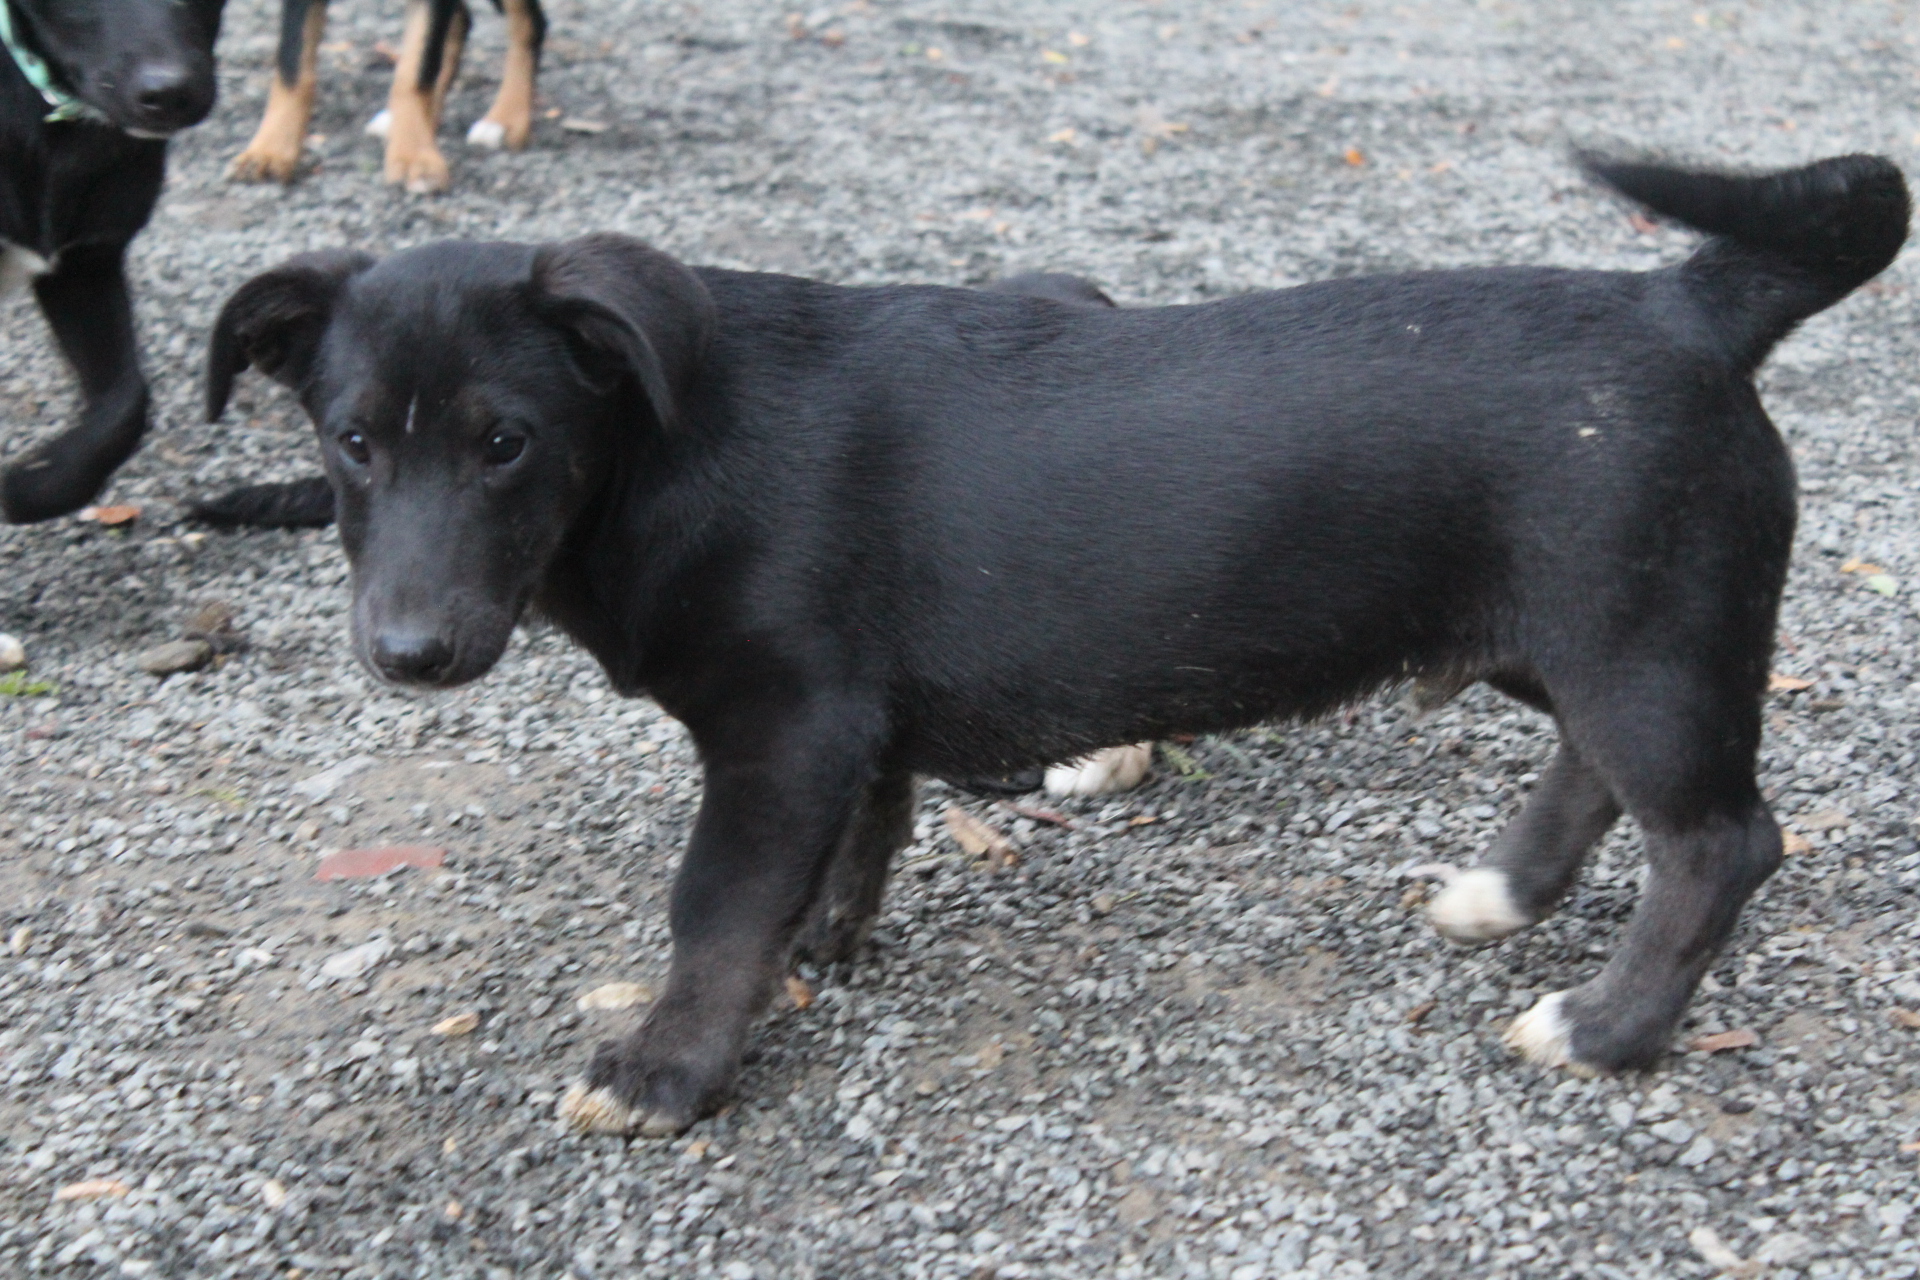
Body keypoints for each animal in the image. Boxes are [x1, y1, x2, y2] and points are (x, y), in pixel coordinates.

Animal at [203, 153, 1908, 1136]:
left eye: (506, 443)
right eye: (351, 442)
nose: (409, 652)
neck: (662, 445)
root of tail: (1687, 306)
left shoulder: (779, 726)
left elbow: (715, 904)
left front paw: (676, 1068)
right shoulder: (844, 729)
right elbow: (859, 837)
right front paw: (827, 945)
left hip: (1638, 631)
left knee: (1721, 841)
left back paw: (1609, 1028)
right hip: (1570, 634)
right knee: (1602, 772)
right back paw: (1507, 893)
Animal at [228, 0, 545, 194]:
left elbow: (415, 69)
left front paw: (414, 156)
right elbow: (293, 65)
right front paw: (268, 152)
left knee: (530, 23)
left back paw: (505, 119)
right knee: (463, 20)